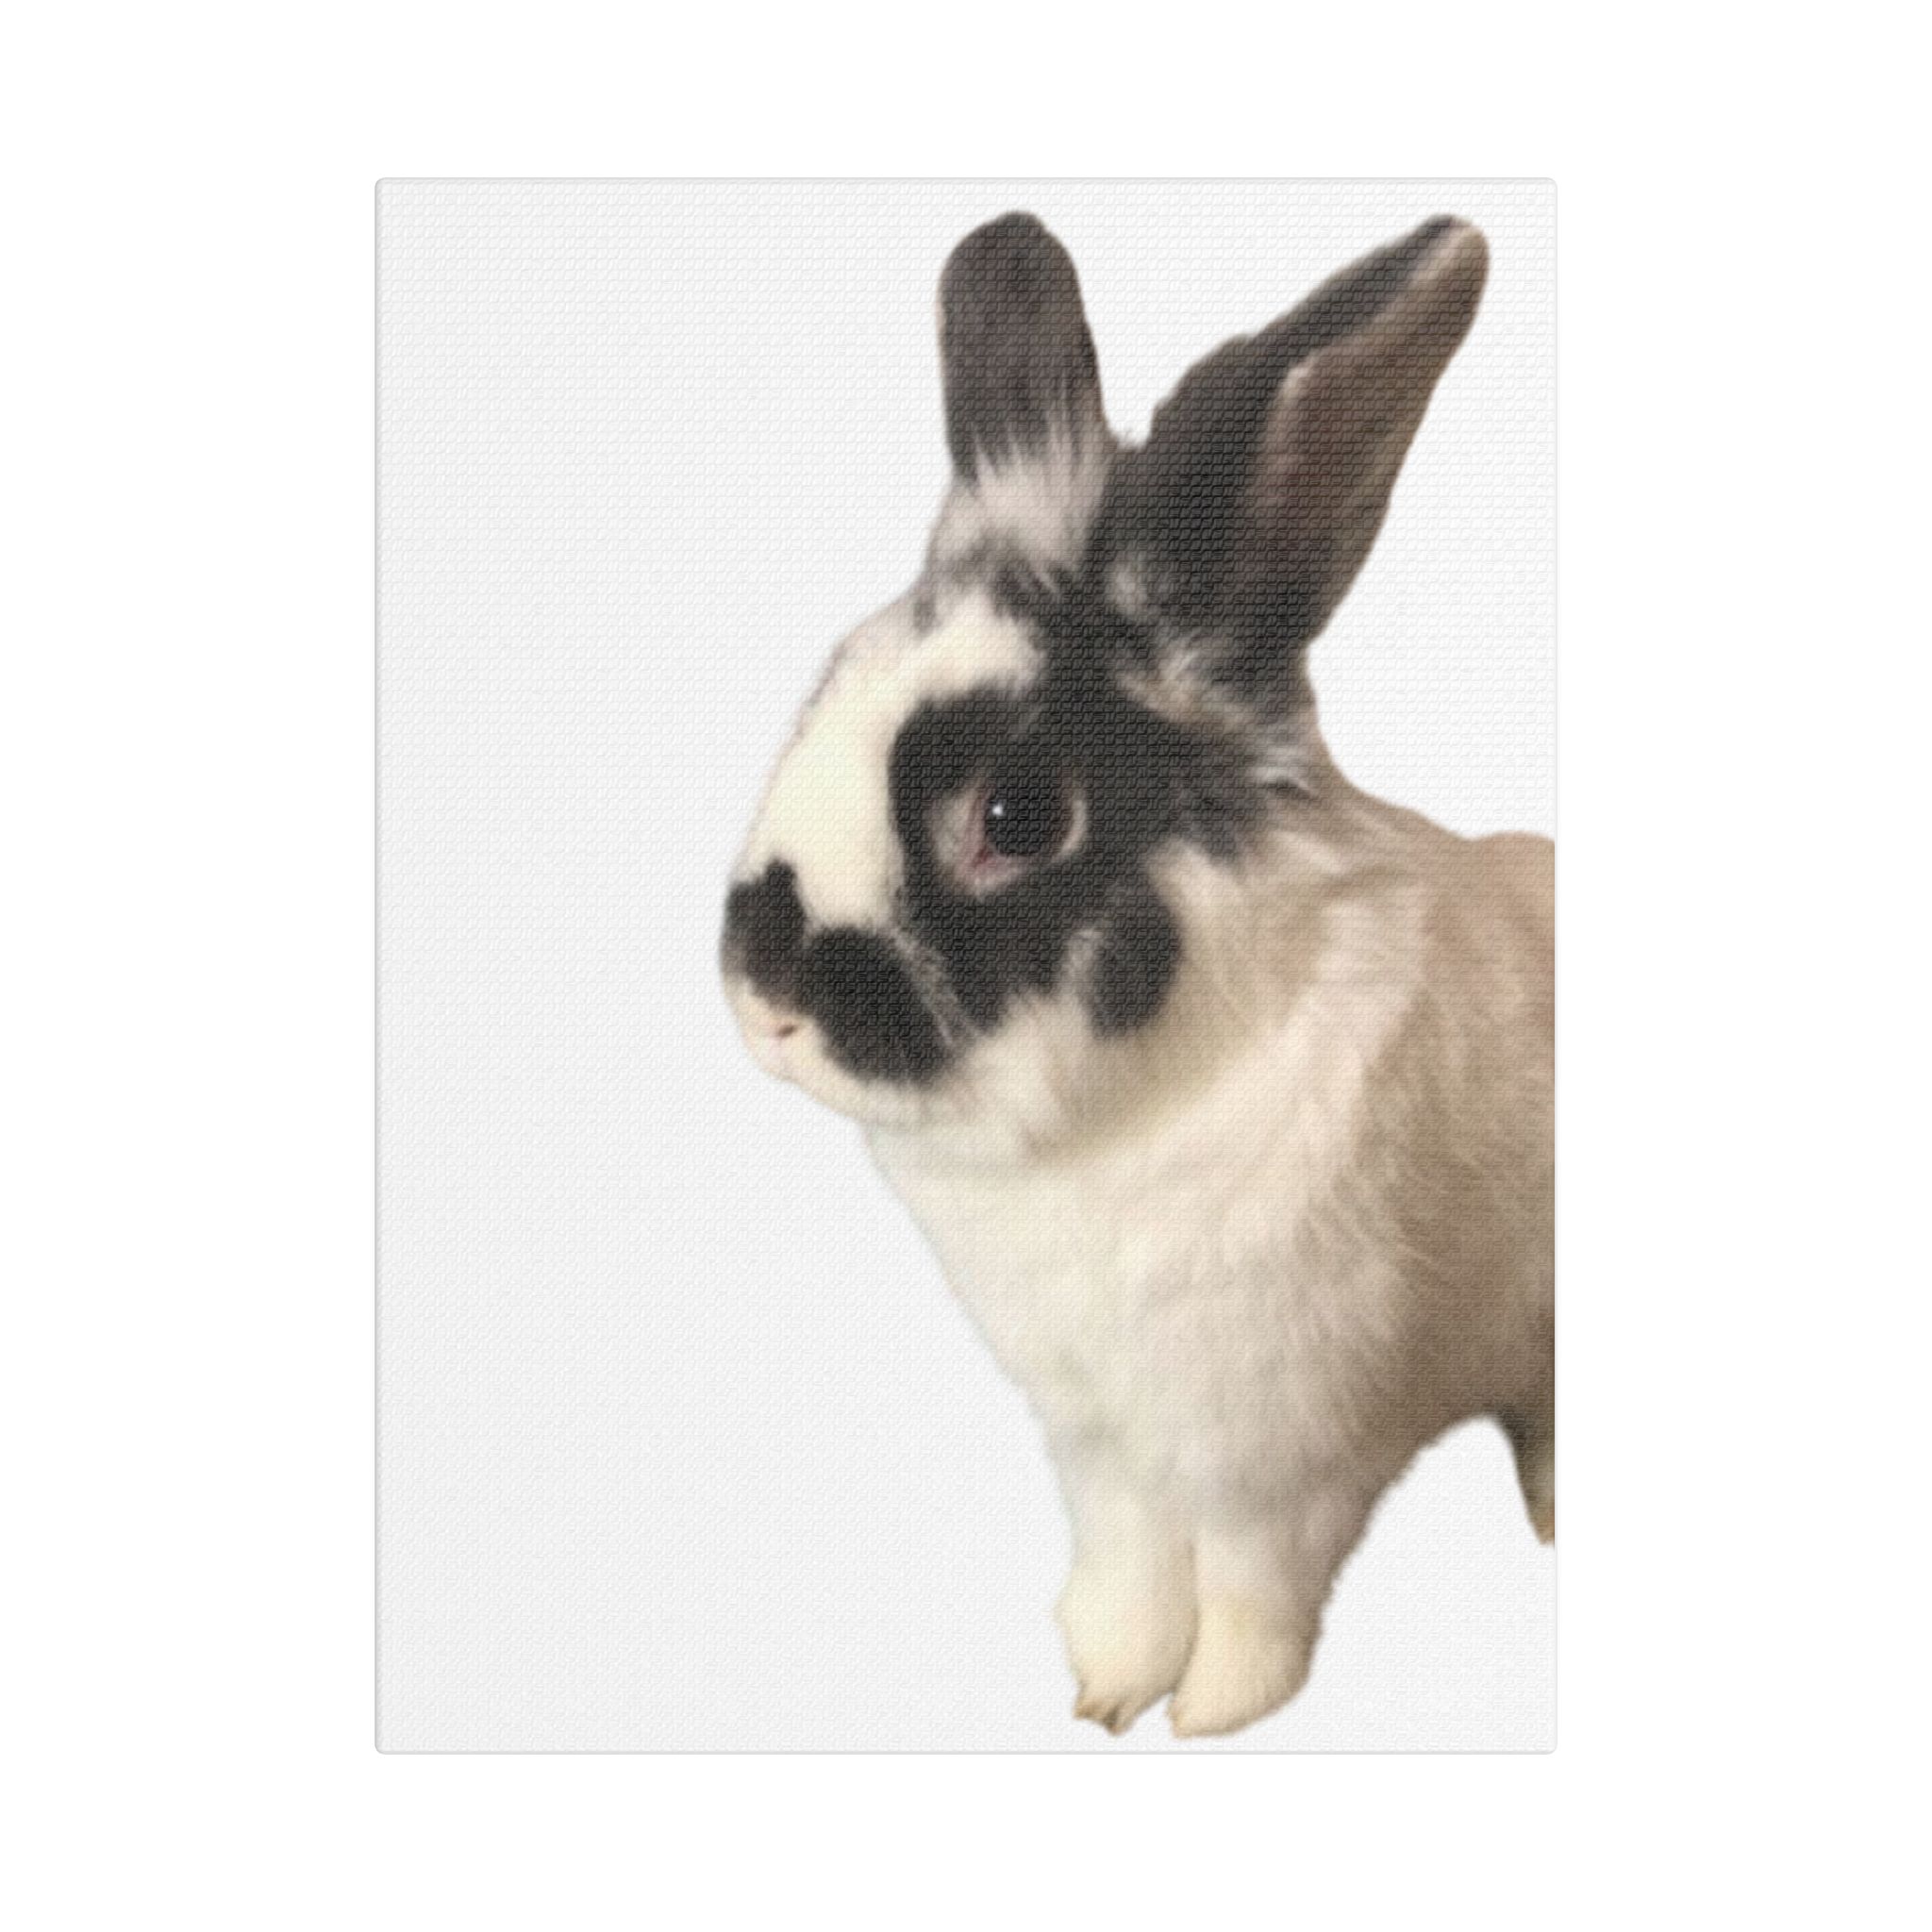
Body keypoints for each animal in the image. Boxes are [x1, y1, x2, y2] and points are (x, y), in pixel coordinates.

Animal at [720, 211, 1553, 1739]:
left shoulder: (1276, 1449)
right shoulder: (1101, 1440)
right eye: (821, 692)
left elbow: (1249, 1582)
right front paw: (1107, 1685)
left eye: (1016, 817)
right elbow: (1127, 1562)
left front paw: (1215, 1708)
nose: (770, 996)